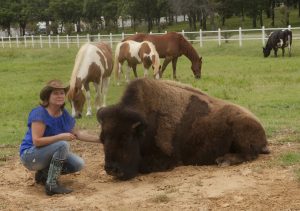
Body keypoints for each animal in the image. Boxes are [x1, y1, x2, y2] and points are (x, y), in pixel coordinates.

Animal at [98, 78, 270, 181]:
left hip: (240, 133)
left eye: (126, 137)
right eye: (102, 139)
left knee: (248, 154)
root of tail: (259, 125)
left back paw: (223, 160)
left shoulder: (165, 159)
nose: (112, 169)